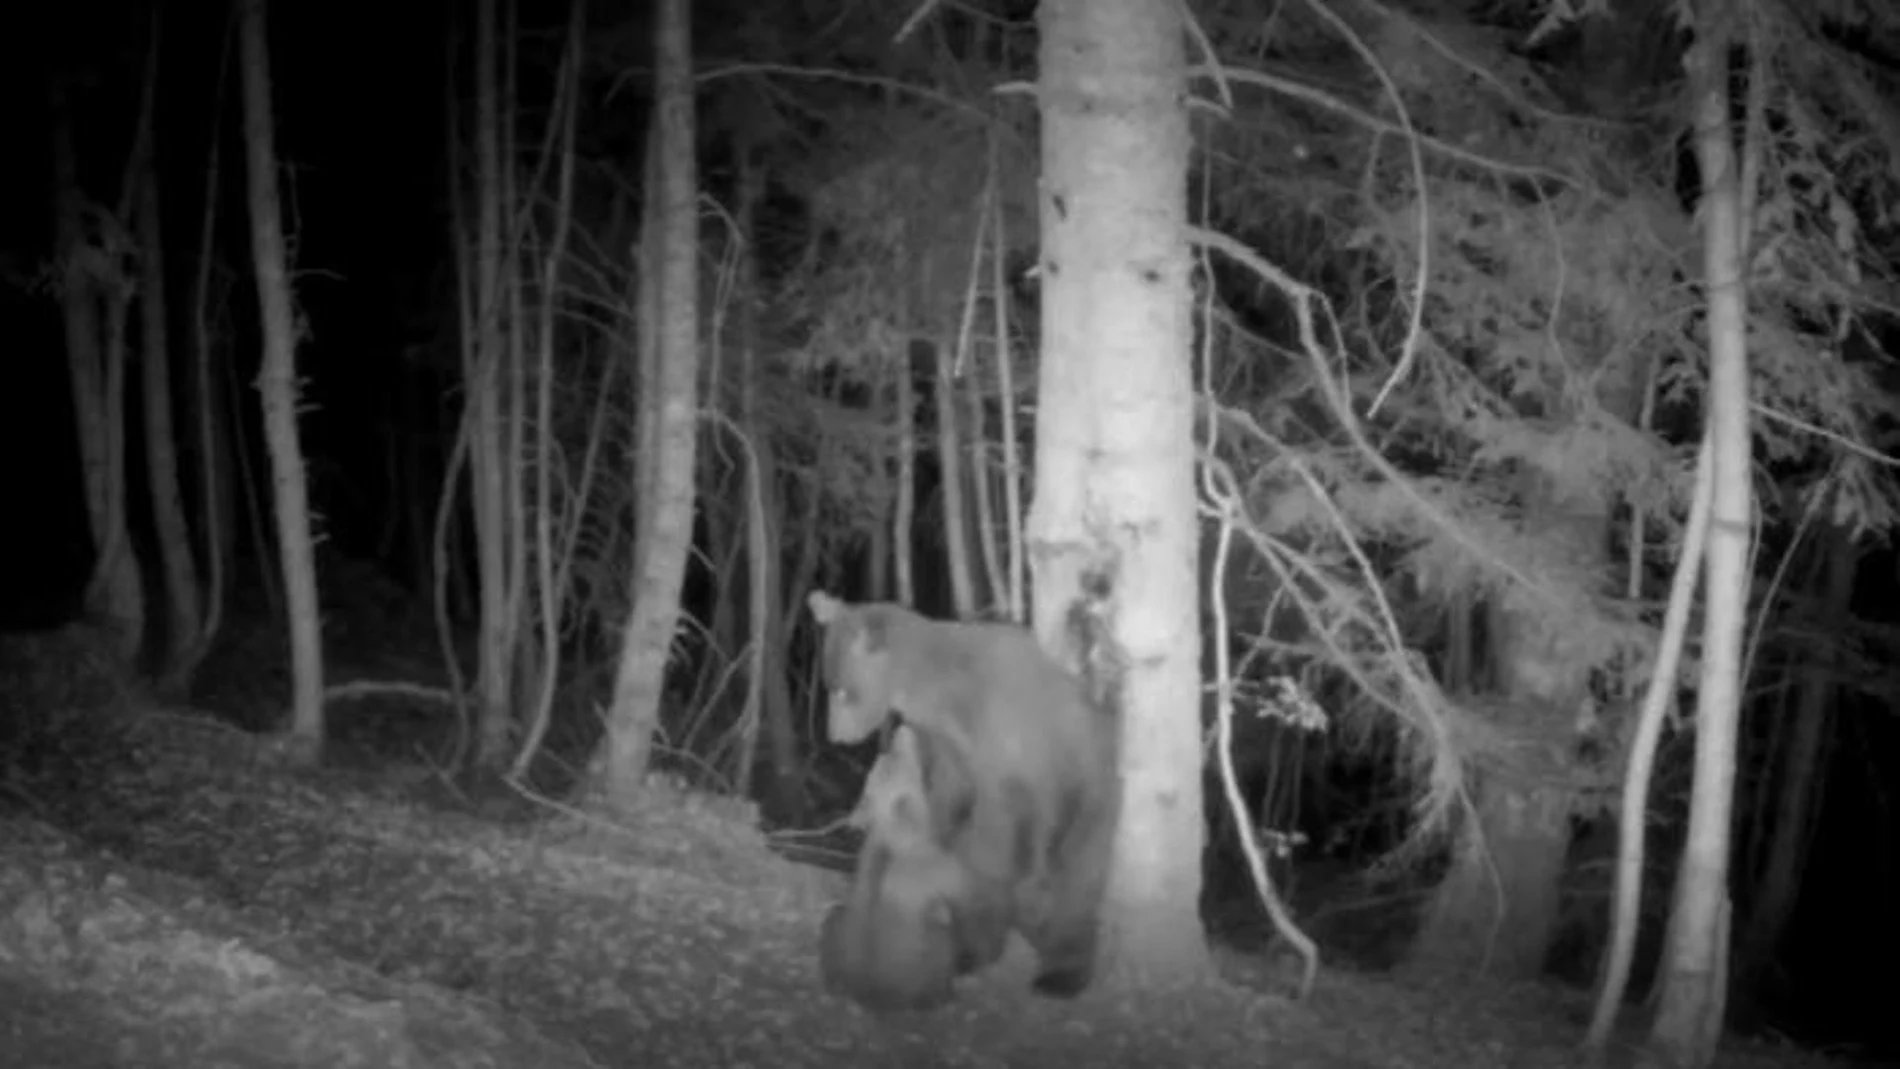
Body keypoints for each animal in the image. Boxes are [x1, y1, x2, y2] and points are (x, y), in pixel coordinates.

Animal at [818, 722, 1013, 1010]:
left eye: (878, 768)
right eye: (917, 773)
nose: (903, 730)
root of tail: (874, 997)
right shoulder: (955, 882)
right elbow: (979, 926)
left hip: (832, 920)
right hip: (940, 942)